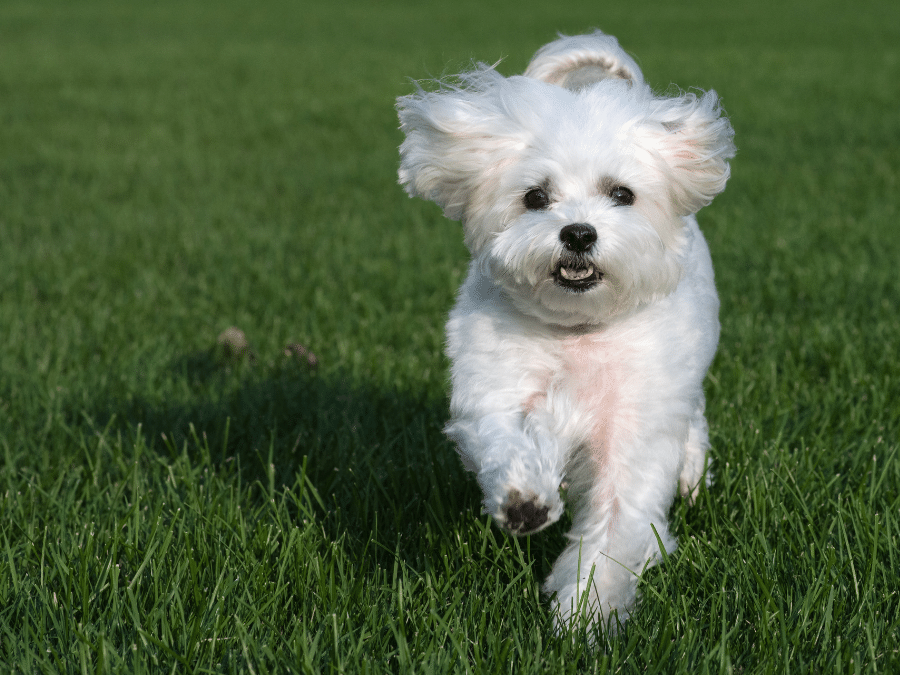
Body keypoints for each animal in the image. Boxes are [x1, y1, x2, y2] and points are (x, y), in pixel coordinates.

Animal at [398, 30, 736, 632]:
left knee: (693, 419)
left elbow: (615, 528)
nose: (578, 233)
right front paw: (524, 500)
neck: (580, 331)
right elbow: (503, 437)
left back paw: (692, 476)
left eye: (621, 193)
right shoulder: (494, 384)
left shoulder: (635, 428)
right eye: (536, 196)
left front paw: (583, 617)